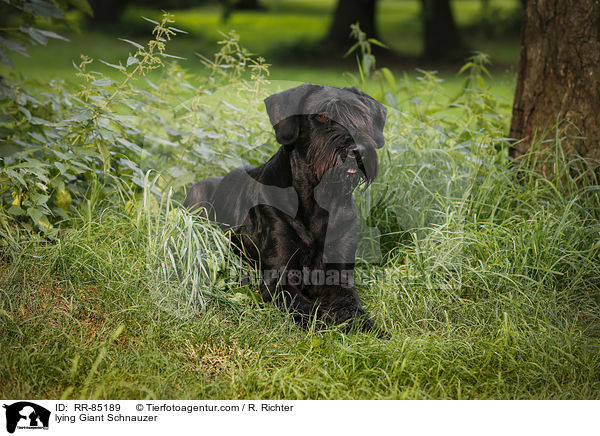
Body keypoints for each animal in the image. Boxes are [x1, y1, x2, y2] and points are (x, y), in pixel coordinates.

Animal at [185, 84, 386, 334]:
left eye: (361, 115)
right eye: (322, 116)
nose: (357, 150)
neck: (318, 199)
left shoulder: (338, 273)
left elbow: (351, 304)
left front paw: (370, 328)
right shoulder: (279, 278)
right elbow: (306, 307)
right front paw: (323, 324)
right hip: (197, 194)